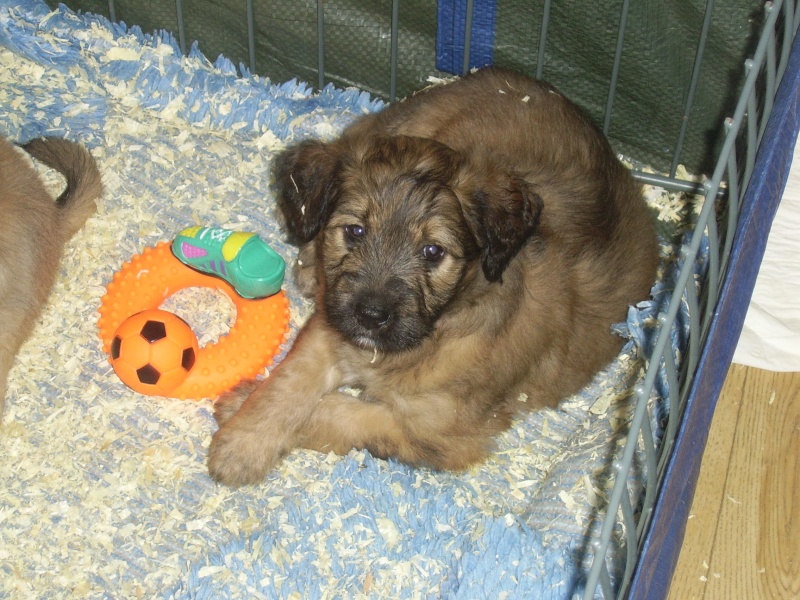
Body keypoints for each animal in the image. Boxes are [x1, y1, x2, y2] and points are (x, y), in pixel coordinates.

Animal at [209, 67, 660, 488]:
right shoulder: (331, 326)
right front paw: (243, 440)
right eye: (355, 231)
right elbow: (288, 382)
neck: (432, 334)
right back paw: (307, 261)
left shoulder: (437, 432)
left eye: (433, 252)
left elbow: (336, 413)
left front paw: (237, 406)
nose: (371, 315)